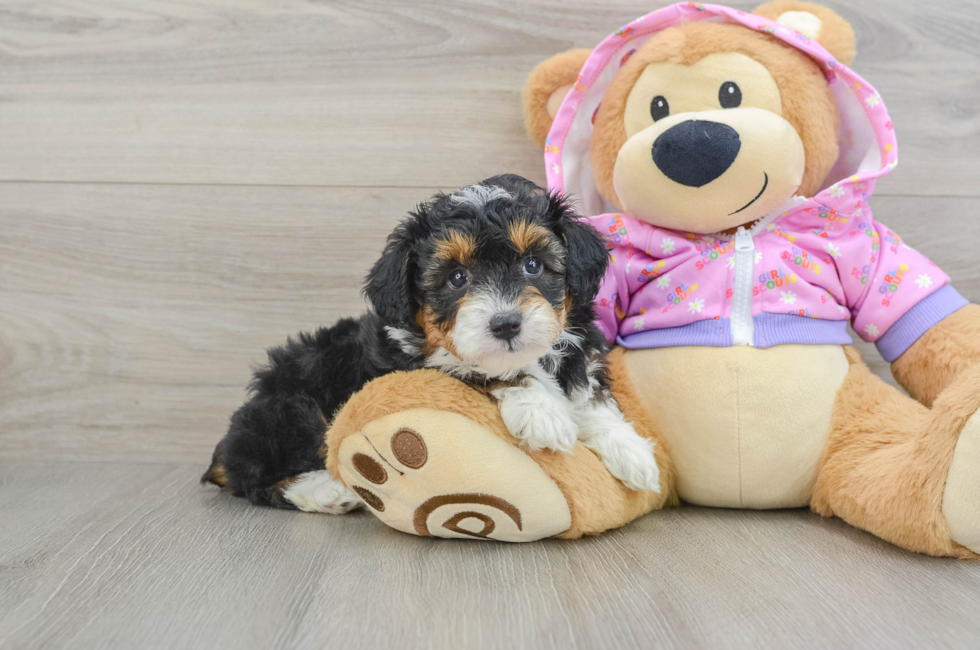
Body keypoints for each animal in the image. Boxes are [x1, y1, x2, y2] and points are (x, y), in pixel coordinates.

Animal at [203, 173, 660, 512]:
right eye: (457, 278)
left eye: (533, 265)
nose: (506, 324)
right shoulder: (428, 362)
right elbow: (488, 373)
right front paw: (541, 411)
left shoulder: (578, 346)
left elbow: (588, 392)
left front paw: (630, 450)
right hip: (295, 409)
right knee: (255, 479)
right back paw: (327, 491)